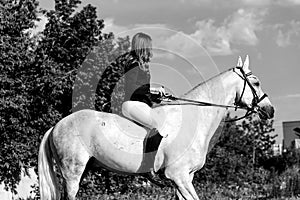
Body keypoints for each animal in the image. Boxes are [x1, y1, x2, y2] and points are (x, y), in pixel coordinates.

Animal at [38, 55, 274, 200]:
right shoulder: (178, 176)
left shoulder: (185, 178)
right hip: (72, 172)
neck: (194, 118)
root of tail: (57, 126)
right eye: (256, 82)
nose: (270, 110)